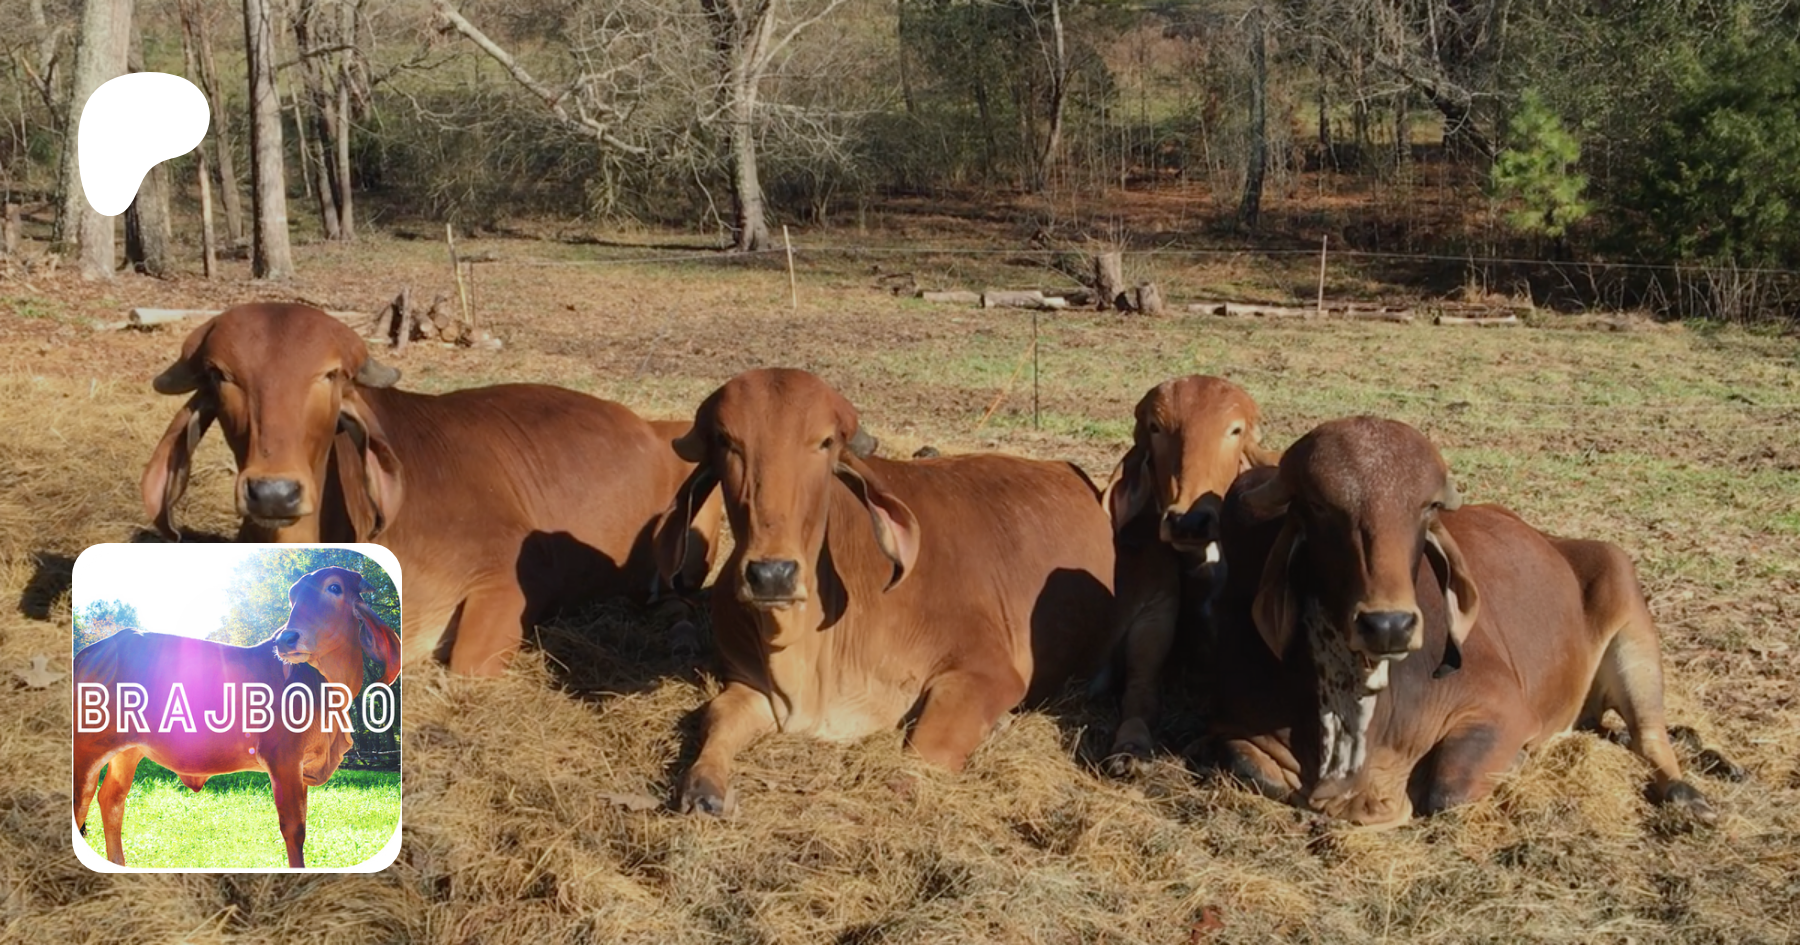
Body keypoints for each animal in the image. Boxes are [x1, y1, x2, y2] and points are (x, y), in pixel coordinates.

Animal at [73, 566, 401, 867]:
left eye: (334, 587)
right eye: (293, 596)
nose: (286, 639)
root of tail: (90, 653)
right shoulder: (282, 758)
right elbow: (294, 830)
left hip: (128, 751)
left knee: (111, 801)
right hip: (86, 752)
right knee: (83, 802)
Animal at [141, 303, 721, 676]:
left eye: (330, 375)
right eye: (220, 374)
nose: (274, 493)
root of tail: (650, 425)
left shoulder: (507, 578)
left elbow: (465, 664)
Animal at [651, 368, 1116, 815]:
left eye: (825, 442)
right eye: (726, 441)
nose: (772, 574)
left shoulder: (987, 670)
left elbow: (924, 751)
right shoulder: (752, 686)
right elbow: (718, 717)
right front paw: (703, 787)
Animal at [1200, 416, 1715, 828]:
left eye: (1426, 507)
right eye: (1320, 506)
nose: (1389, 625)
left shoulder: (1501, 708)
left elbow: (1448, 790)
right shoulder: (1236, 728)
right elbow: (1258, 772)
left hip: (1631, 620)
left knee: (1650, 737)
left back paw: (1687, 794)